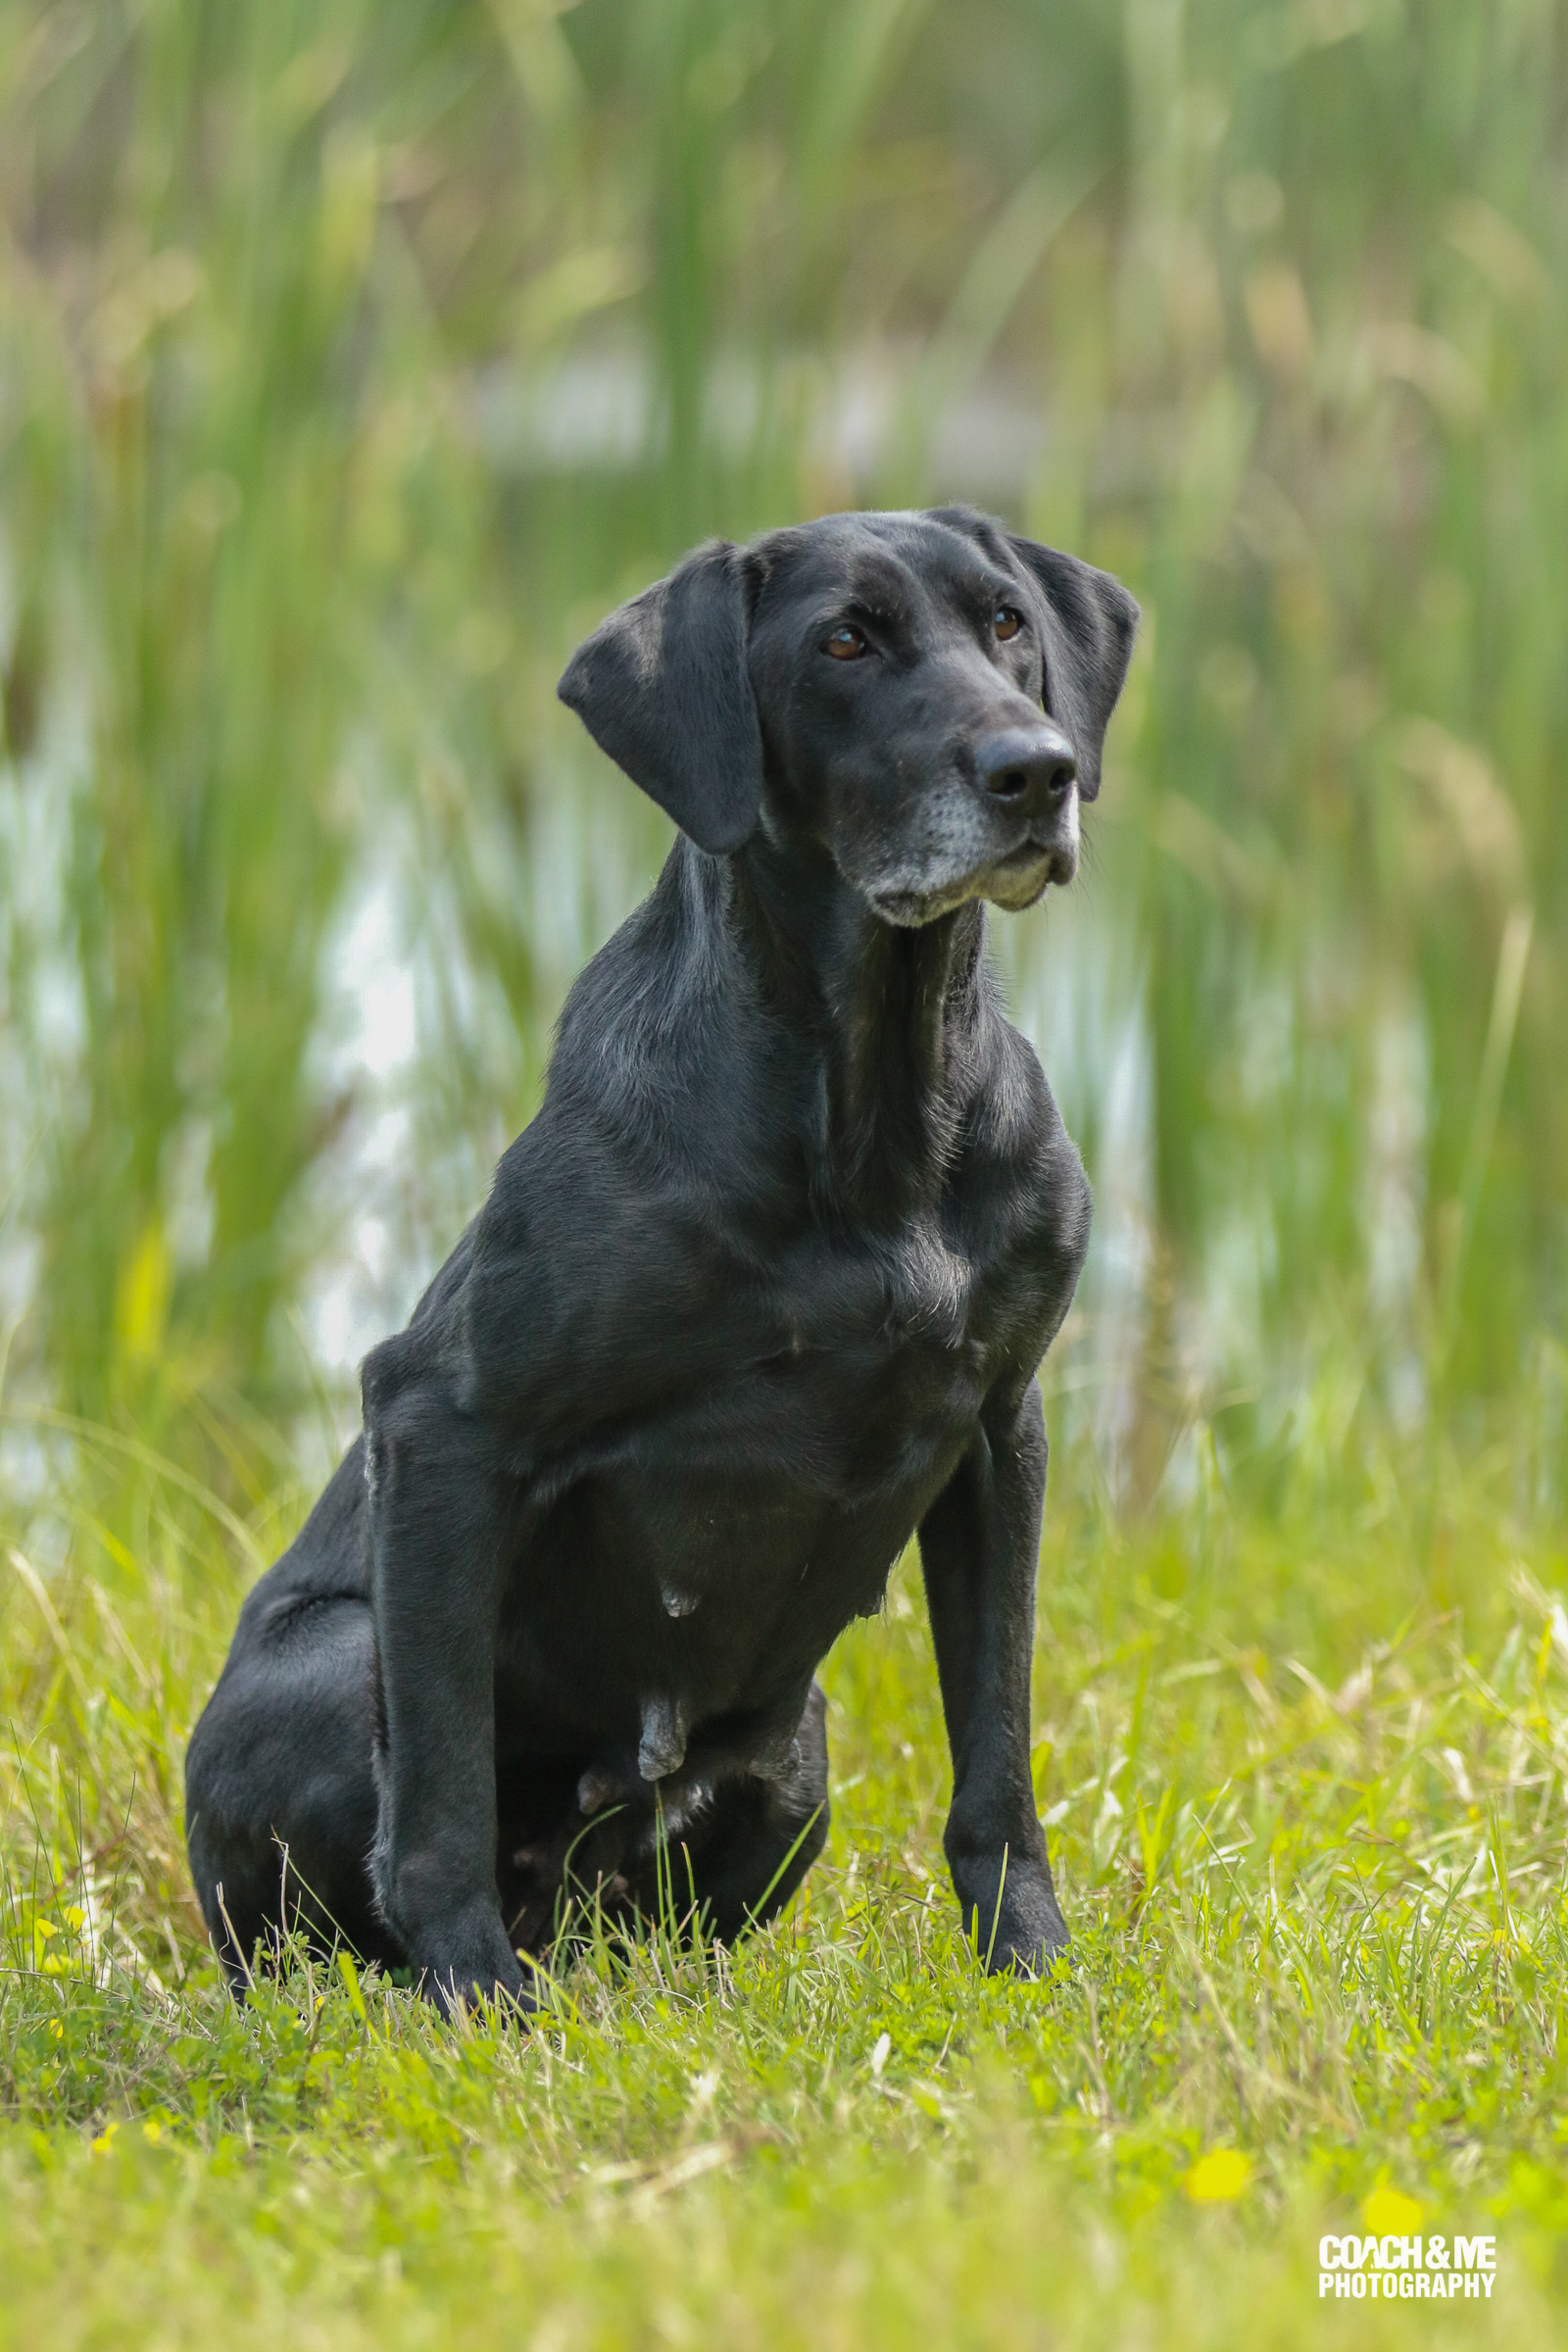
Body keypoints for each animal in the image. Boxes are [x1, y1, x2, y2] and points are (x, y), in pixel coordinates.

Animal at [186, 506, 1142, 2013]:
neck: (868, 1116)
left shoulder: (1001, 1429)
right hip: (340, 1664)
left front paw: (1032, 1969)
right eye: (844, 641)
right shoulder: (439, 1419)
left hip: (795, 1747)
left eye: (1005, 622)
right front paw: (473, 2006)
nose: (1036, 771)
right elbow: (440, 1791)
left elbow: (995, 1754)